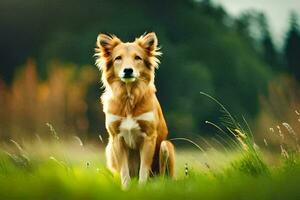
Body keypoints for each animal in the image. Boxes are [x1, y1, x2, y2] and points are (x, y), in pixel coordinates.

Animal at [95, 31, 176, 188]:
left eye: (137, 57)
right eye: (118, 58)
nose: (128, 70)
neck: (128, 98)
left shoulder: (149, 137)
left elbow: (144, 170)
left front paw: (141, 189)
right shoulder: (116, 138)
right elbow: (124, 171)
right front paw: (126, 189)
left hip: (165, 146)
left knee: (162, 177)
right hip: (109, 149)